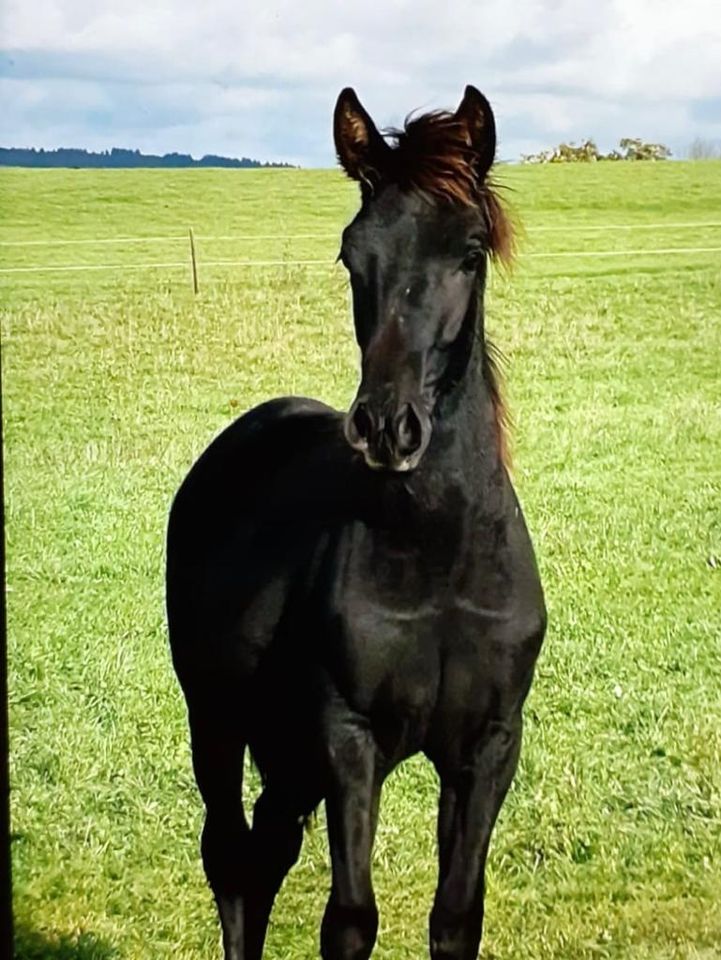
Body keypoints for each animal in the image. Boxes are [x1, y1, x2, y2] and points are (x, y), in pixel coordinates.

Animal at [165, 84, 544, 960]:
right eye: (351, 254)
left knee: (265, 848)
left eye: (470, 250)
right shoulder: (348, 737)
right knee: (230, 858)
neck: (439, 557)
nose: (385, 428)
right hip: (217, 718)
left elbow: (456, 916)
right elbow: (349, 919)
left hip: (284, 746)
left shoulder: (487, 749)